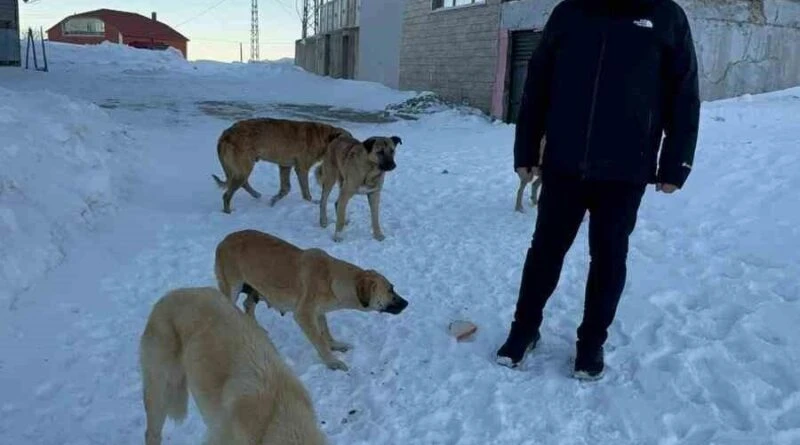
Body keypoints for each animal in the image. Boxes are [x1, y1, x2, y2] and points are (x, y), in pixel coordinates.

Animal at [211, 117, 352, 212]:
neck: (324, 138)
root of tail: (225, 135)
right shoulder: (302, 168)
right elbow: (306, 192)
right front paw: (312, 202)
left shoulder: (285, 166)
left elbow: (285, 188)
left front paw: (273, 201)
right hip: (245, 168)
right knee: (227, 195)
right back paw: (228, 212)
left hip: (242, 169)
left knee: (242, 184)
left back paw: (256, 194)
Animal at [212, 229, 406, 372]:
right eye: (390, 289)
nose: (407, 303)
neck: (332, 279)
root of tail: (223, 241)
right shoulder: (304, 314)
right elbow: (319, 340)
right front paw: (332, 362)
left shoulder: (318, 312)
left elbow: (325, 331)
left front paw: (334, 345)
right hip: (232, 288)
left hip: (255, 289)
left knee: (247, 306)